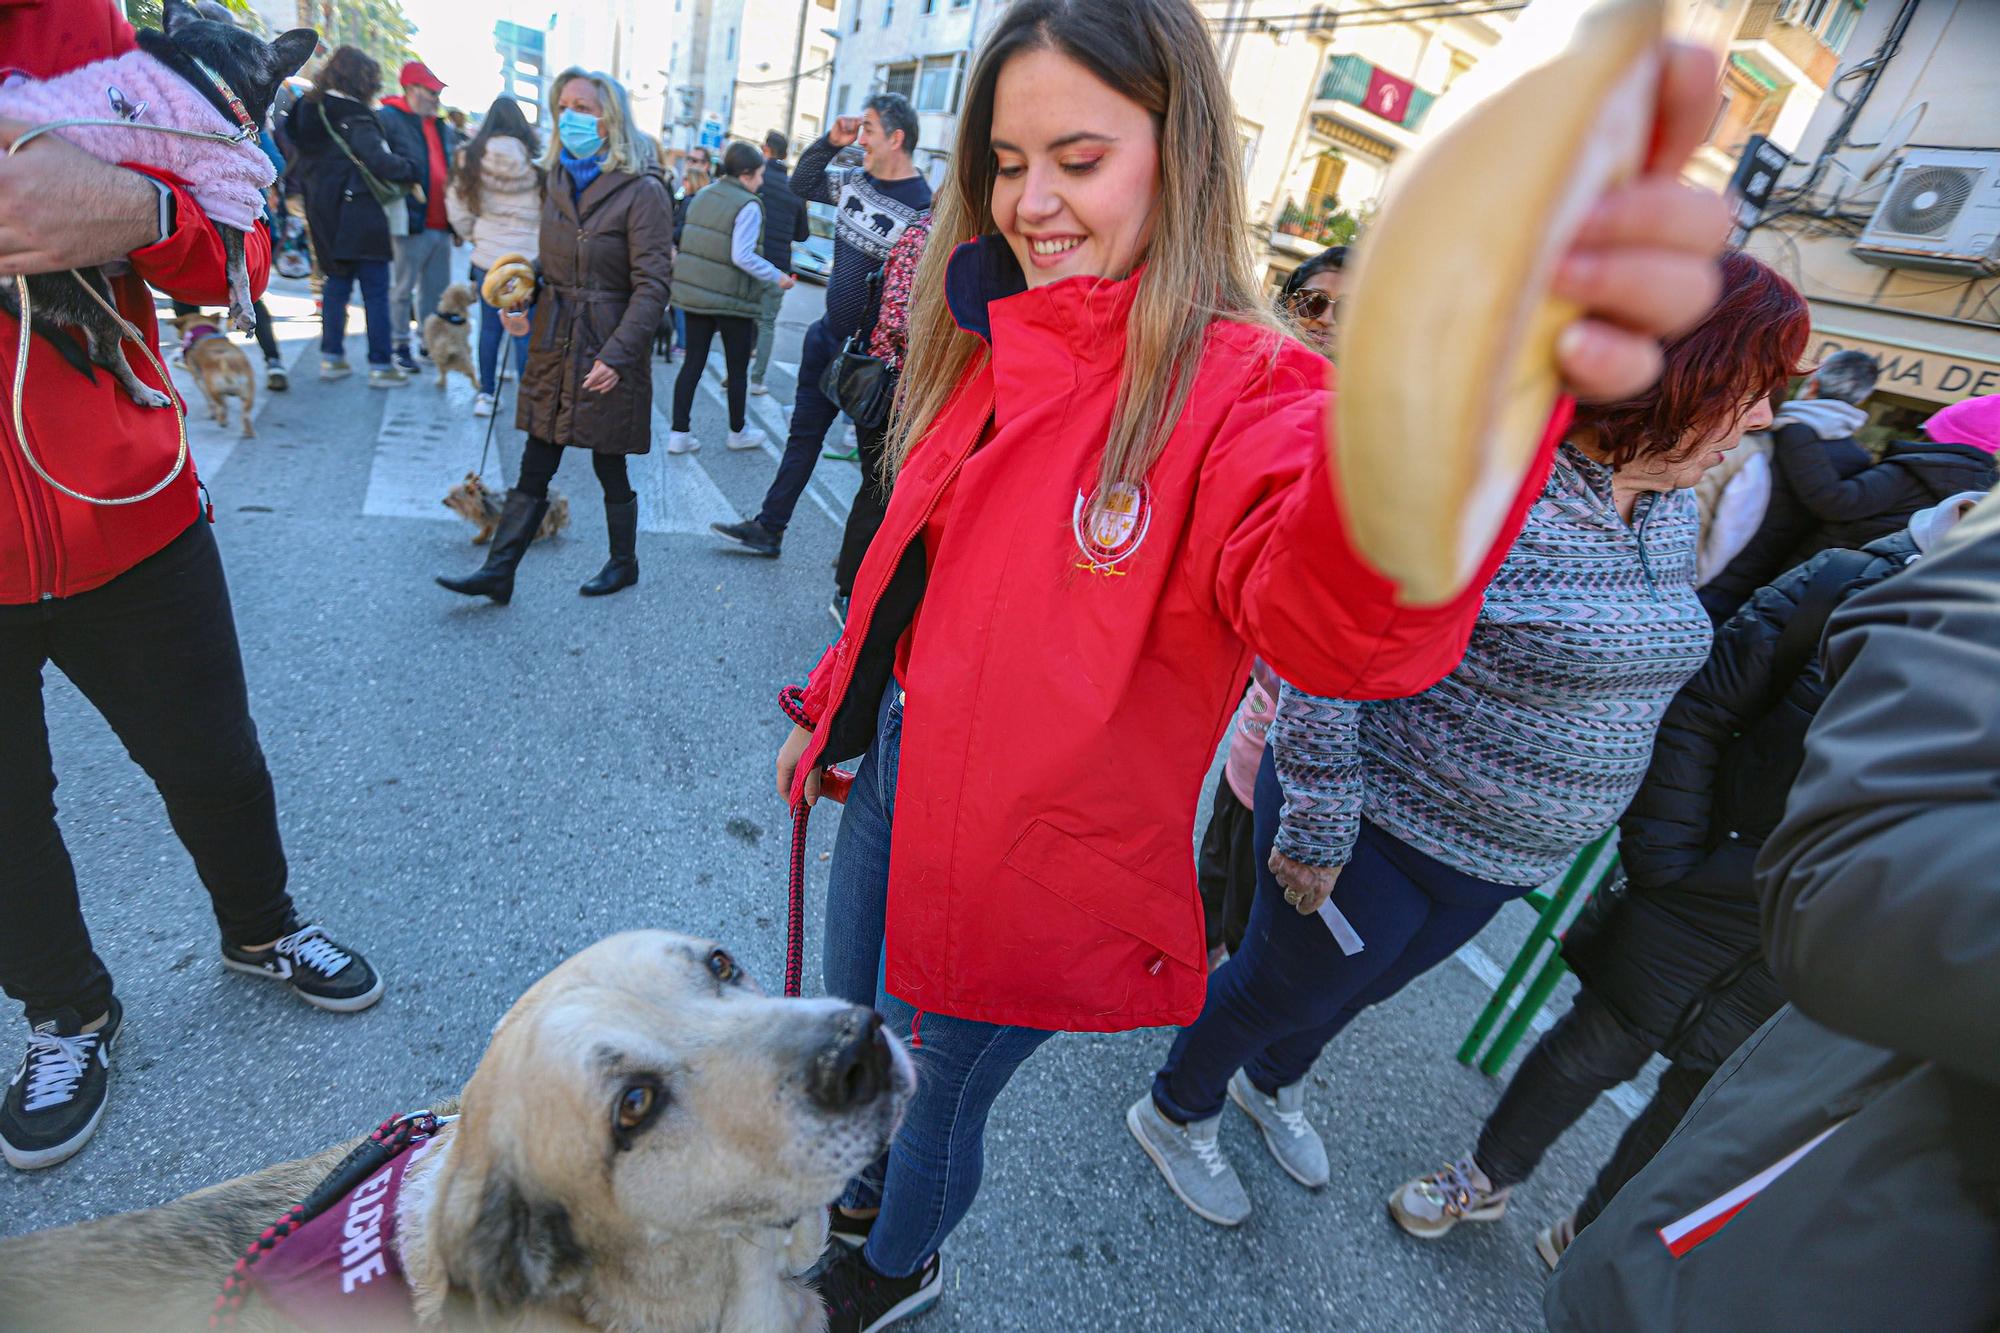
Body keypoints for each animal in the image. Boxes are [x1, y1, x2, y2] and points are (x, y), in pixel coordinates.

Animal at [0, 1, 314, 404]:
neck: (205, 71)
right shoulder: (223, 186)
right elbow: (239, 262)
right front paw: (244, 308)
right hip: (79, 281)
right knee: (102, 351)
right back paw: (144, 391)